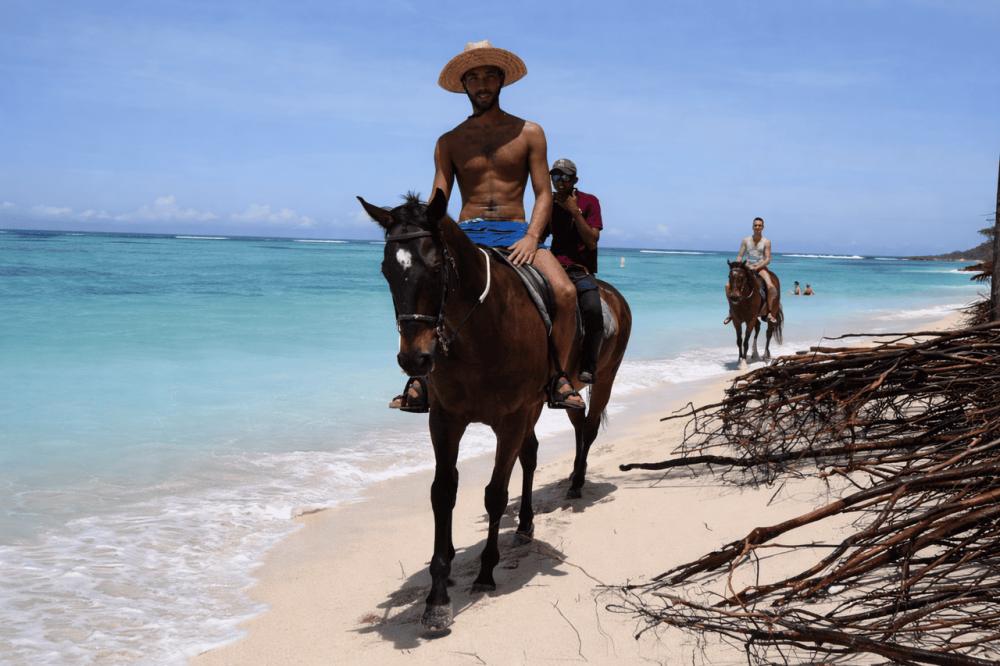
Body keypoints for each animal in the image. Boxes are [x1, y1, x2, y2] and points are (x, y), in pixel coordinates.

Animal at [358, 189, 631, 631]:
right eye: (386, 270)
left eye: (437, 266)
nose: (415, 359)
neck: (478, 330)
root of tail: (612, 296)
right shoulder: (445, 420)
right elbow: (443, 492)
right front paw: (438, 590)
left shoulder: (510, 419)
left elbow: (494, 494)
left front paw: (485, 572)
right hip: (543, 401)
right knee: (543, 447)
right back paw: (527, 524)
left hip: (600, 379)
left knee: (586, 429)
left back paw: (575, 485)